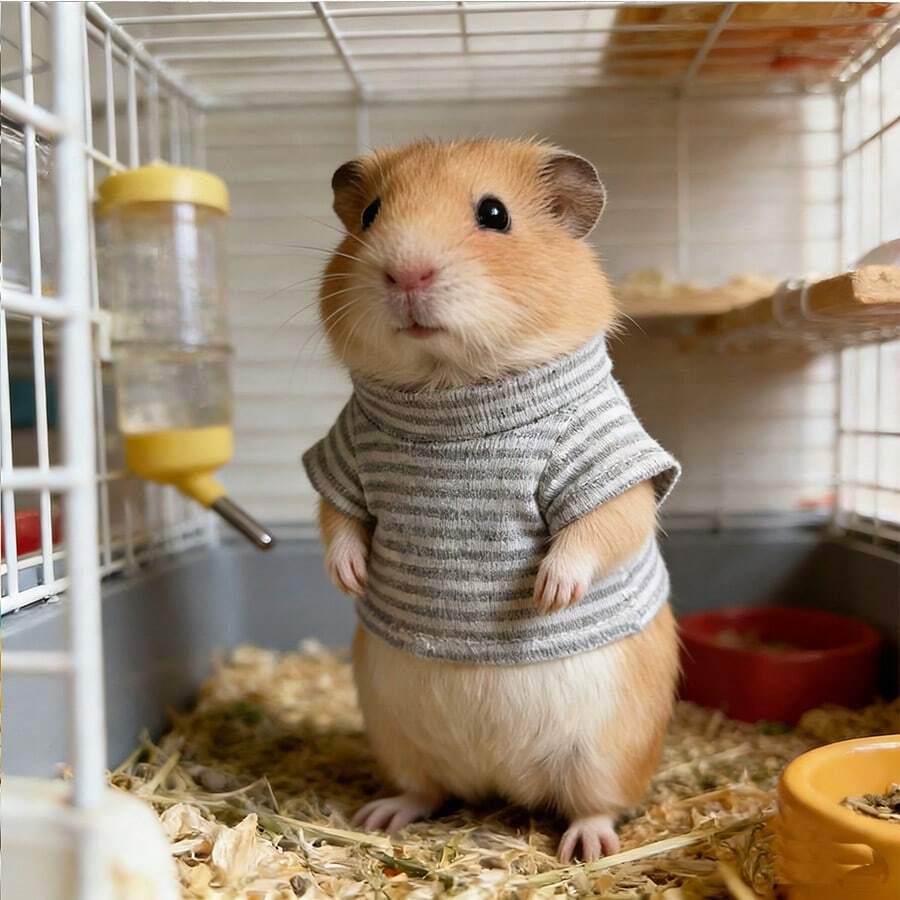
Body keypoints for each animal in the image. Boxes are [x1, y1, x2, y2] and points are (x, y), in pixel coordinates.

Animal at [304, 139, 680, 862]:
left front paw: (547, 595)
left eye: (495, 215)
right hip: (396, 737)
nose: (405, 274)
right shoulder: (344, 453)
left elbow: (597, 527)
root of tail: (502, 783)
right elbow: (339, 520)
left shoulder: (609, 466)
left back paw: (586, 849)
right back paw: (380, 816)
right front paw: (351, 579)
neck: (452, 384)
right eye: (370, 214)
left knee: (596, 804)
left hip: (607, 751)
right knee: (425, 789)